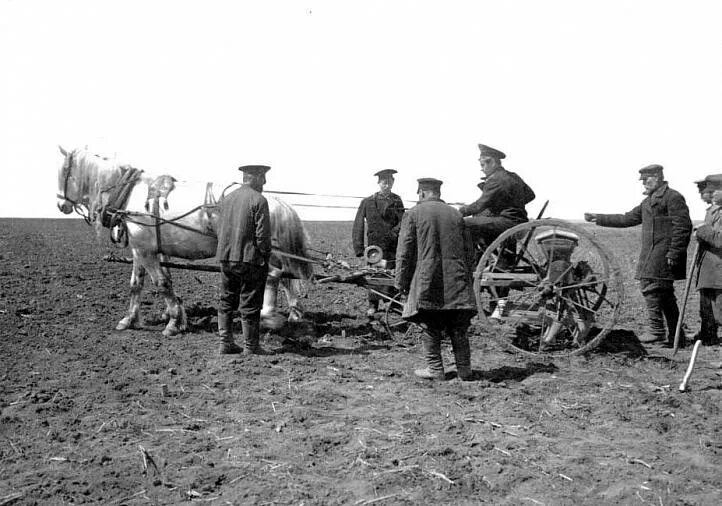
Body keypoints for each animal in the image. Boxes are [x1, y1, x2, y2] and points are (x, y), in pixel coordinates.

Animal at [54, 145, 314, 336]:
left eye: (64, 173)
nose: (60, 204)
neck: (129, 195)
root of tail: (273, 200)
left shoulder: (147, 252)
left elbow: (162, 284)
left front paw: (174, 322)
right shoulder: (140, 249)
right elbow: (136, 284)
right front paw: (129, 319)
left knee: (274, 276)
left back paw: (269, 316)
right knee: (282, 277)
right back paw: (290, 313)